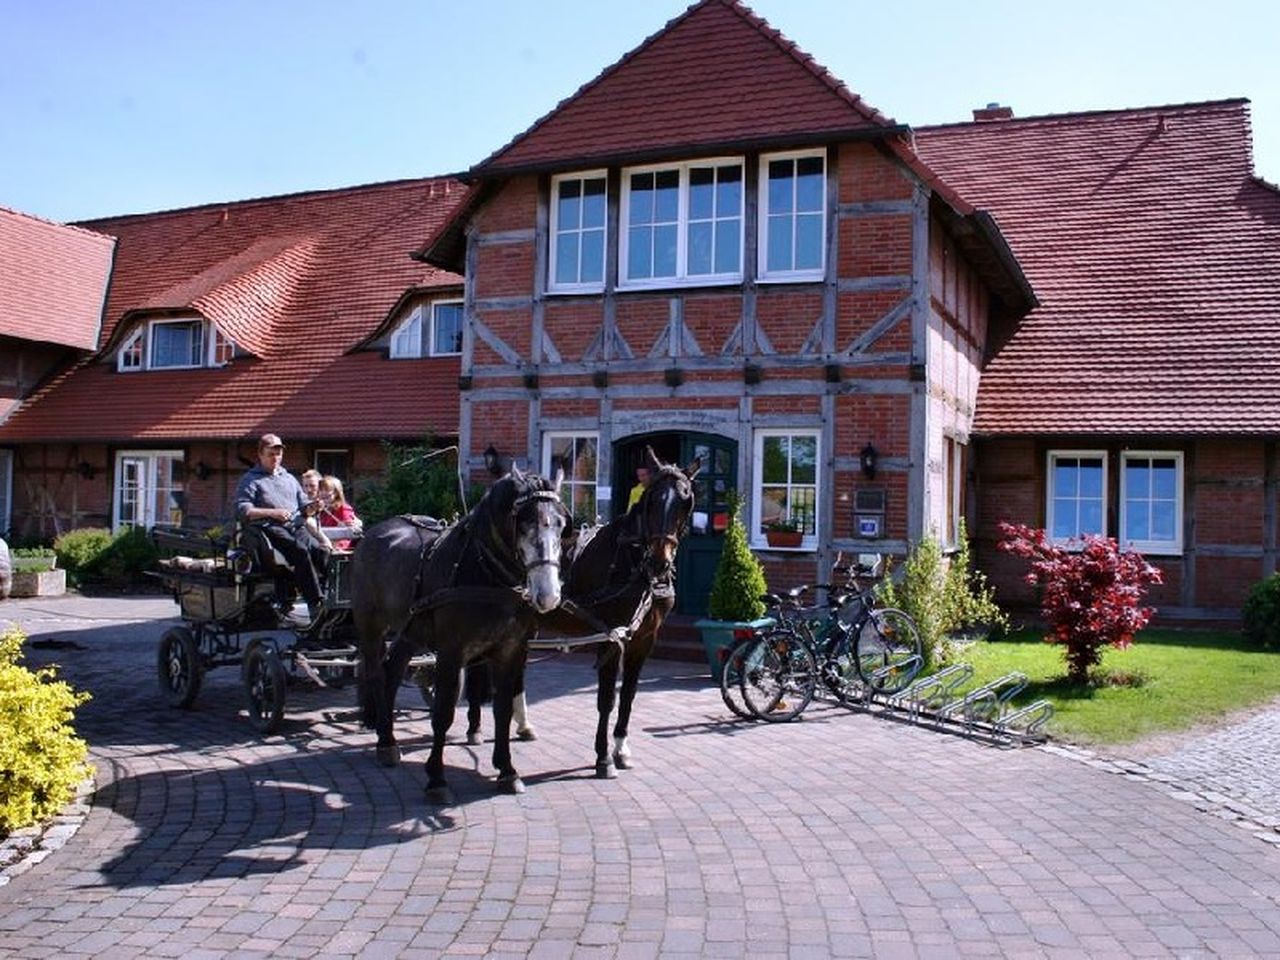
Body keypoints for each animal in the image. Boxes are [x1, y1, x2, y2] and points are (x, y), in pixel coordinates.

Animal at [353, 471, 568, 798]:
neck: (487, 576)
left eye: (560, 524)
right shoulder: (451, 652)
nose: (548, 595)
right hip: (370, 626)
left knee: (392, 671)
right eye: (524, 523)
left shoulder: (509, 650)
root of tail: (374, 533)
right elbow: (443, 713)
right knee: (376, 675)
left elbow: (502, 710)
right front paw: (436, 779)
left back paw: (386, 738)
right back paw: (385, 741)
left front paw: (507, 771)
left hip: (410, 632)